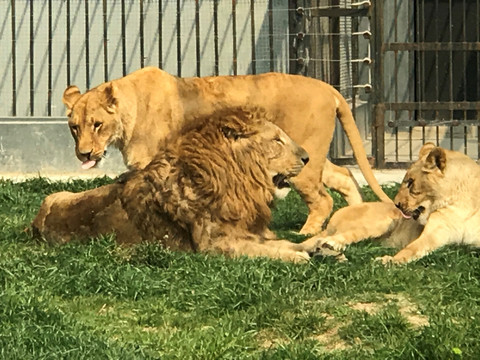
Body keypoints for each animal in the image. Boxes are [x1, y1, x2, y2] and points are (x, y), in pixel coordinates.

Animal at [33, 107, 336, 262]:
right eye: (277, 140)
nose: (307, 158)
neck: (240, 184)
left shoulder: (250, 231)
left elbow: (285, 242)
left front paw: (319, 247)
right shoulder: (214, 246)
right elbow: (265, 251)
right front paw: (300, 257)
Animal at [61, 66, 390, 235]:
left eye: (97, 124)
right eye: (75, 127)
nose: (84, 154)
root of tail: (329, 88)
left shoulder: (152, 163)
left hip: (299, 164)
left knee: (322, 198)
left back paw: (307, 233)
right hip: (311, 156)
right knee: (344, 175)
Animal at [308, 143, 480, 264]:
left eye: (410, 183)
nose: (396, 204)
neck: (462, 205)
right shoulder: (433, 234)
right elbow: (410, 249)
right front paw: (389, 261)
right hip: (379, 223)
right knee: (343, 235)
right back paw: (329, 245)